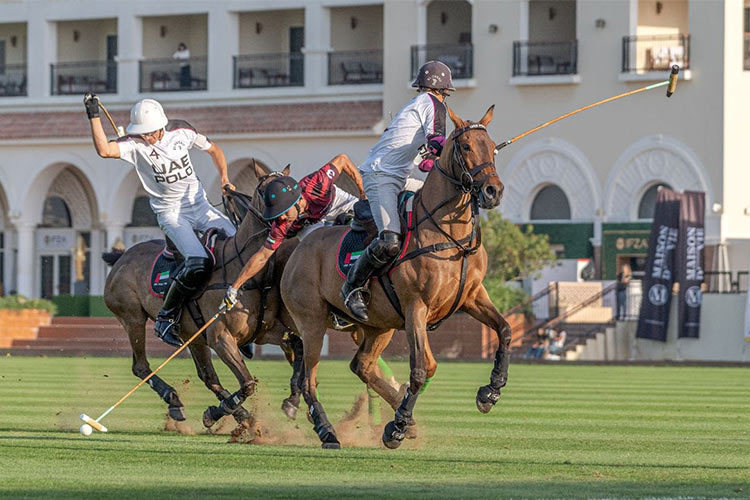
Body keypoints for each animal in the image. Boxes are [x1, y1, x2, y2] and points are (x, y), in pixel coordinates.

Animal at [104, 164, 304, 430]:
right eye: (268, 192)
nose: (296, 220)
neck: (246, 272)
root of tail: (121, 257)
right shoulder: (221, 337)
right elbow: (248, 384)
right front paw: (218, 412)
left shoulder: (265, 331)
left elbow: (296, 346)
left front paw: (290, 402)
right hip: (132, 318)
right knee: (141, 366)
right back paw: (175, 399)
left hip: (192, 335)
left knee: (207, 376)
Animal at [282, 106, 512, 450]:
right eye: (466, 146)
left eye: (494, 147)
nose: (492, 191)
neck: (449, 234)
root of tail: (299, 247)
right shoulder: (416, 306)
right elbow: (421, 368)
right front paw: (396, 427)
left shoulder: (472, 296)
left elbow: (504, 330)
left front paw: (490, 391)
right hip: (311, 322)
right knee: (309, 381)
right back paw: (329, 431)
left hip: (379, 325)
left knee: (361, 365)